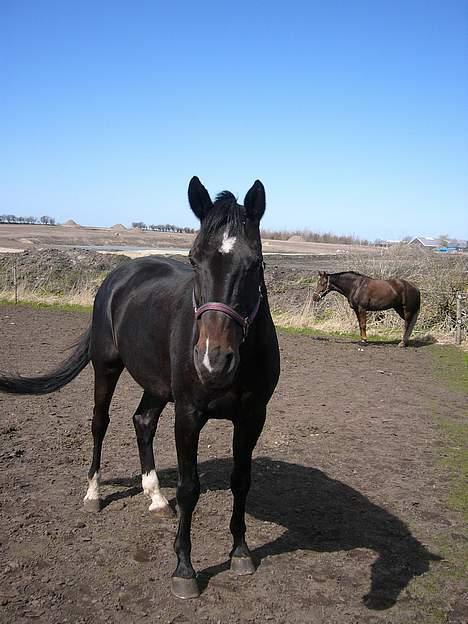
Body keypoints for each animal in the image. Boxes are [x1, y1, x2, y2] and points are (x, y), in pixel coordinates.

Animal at [0, 177, 278, 600]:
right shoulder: (188, 415)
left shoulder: (251, 417)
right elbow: (189, 488)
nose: (212, 361)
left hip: (156, 385)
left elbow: (241, 481)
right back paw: (94, 494)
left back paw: (156, 498)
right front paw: (184, 570)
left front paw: (241, 552)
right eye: (194, 259)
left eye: (254, 263)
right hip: (107, 368)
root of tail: (120, 275)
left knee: (142, 421)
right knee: (100, 423)